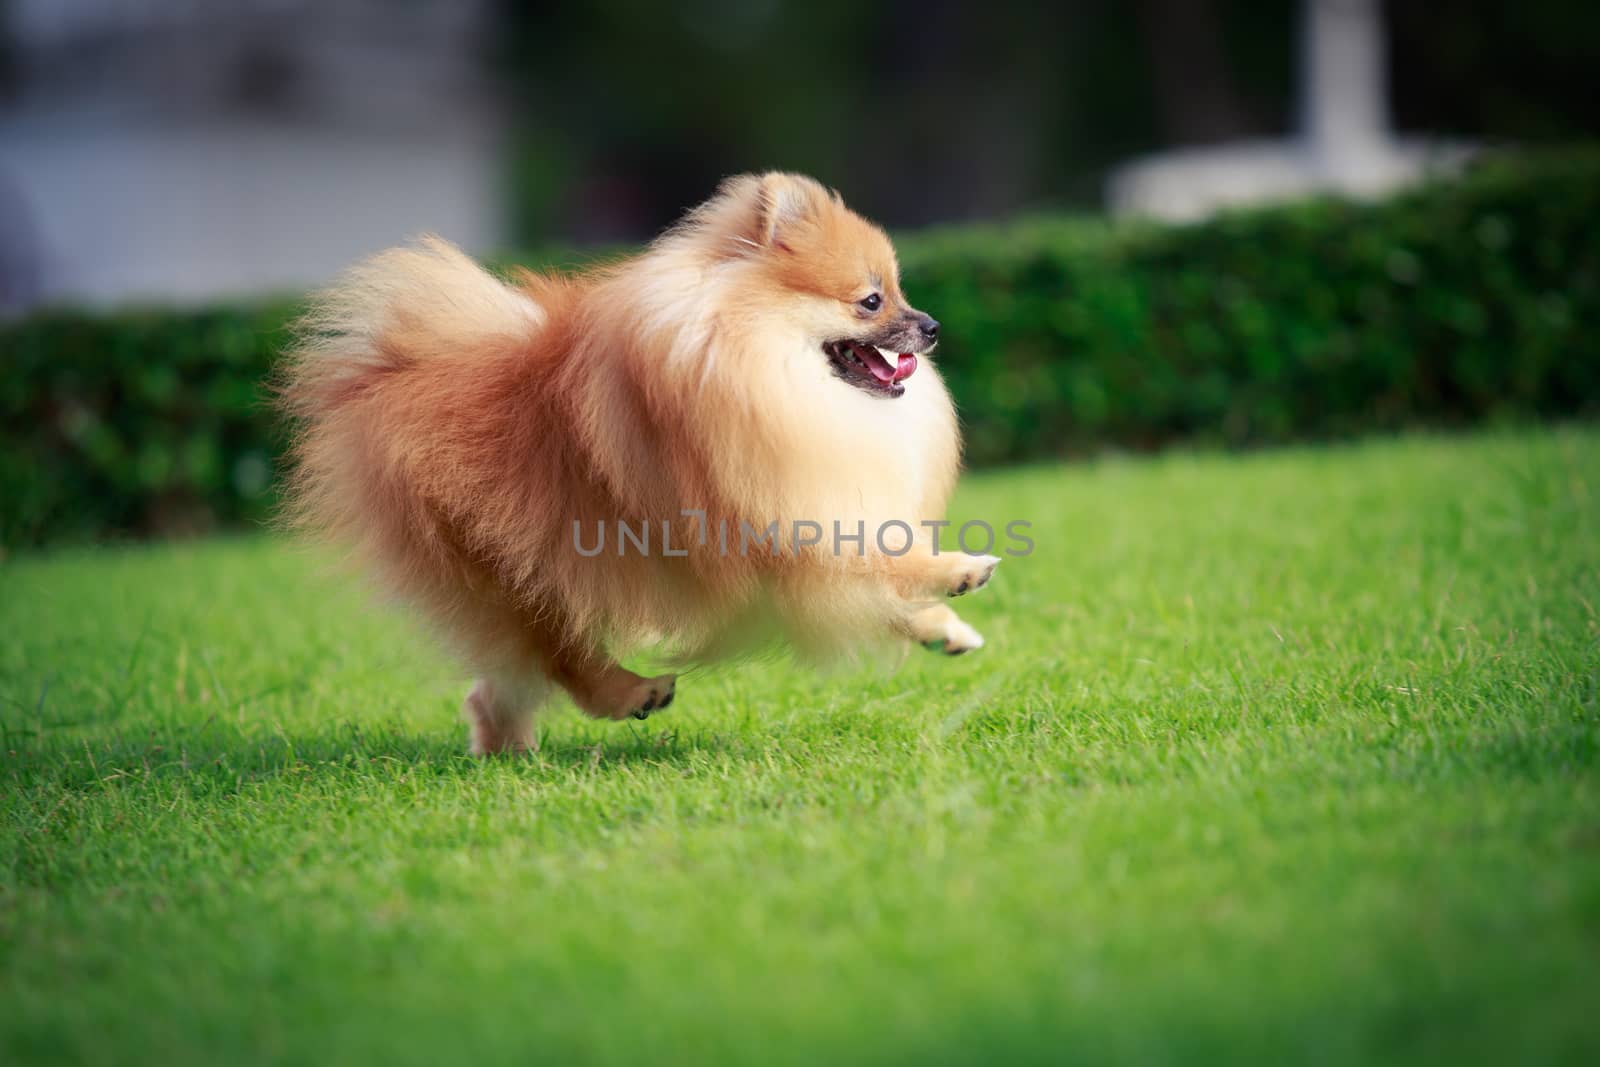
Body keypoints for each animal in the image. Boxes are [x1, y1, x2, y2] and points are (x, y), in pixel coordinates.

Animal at [281, 171, 992, 755]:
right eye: (872, 300)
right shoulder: (771, 524)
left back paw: (506, 749)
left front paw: (942, 628)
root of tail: (389, 370)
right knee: (559, 659)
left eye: (901, 291)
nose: (932, 326)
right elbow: (875, 556)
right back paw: (630, 694)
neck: (755, 364)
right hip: (517, 577)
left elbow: (878, 582)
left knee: (497, 686)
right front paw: (958, 570)